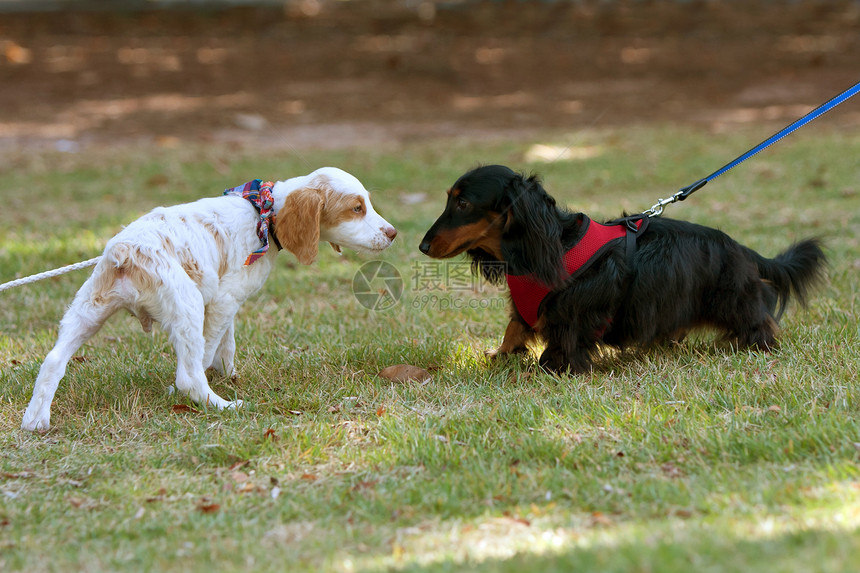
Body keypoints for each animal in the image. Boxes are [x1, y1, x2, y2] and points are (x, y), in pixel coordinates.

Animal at [21, 165, 396, 428]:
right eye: (357, 208)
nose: (393, 233)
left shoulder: (224, 301)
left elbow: (226, 343)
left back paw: (35, 421)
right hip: (186, 306)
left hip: (87, 309)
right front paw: (213, 383)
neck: (264, 214)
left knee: (53, 360)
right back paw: (223, 406)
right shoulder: (222, 301)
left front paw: (228, 373)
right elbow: (208, 351)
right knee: (188, 376)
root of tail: (126, 251)